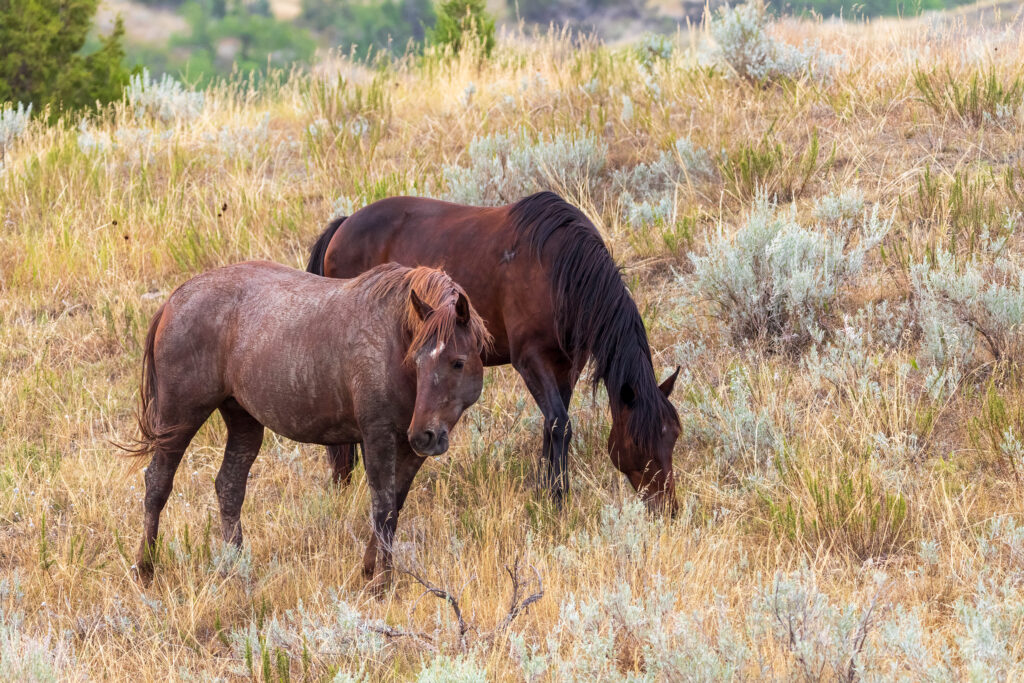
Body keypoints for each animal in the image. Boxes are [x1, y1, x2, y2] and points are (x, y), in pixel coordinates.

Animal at [123, 262, 491, 589]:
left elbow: (393, 507)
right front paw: (381, 584)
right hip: (180, 420)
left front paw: (370, 569)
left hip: (243, 421)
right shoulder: (378, 437)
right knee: (158, 483)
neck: (392, 341)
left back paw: (236, 570)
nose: (425, 435)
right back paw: (146, 568)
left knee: (229, 487)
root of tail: (174, 299)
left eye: (457, 362)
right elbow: (383, 508)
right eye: (417, 360)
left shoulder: (409, 450)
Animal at [307, 189, 684, 509]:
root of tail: (344, 226)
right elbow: (560, 424)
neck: (559, 269)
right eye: (640, 442)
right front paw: (558, 502)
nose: (668, 508)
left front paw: (548, 494)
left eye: (673, 437)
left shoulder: (567, 366)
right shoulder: (531, 360)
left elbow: (553, 425)